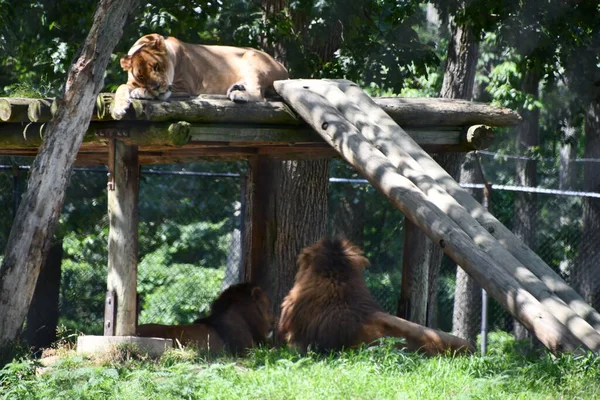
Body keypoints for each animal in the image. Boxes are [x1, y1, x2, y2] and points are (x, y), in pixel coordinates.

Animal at [113, 33, 292, 119]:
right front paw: (118, 109)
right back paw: (236, 88)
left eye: (156, 66)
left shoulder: (185, 87)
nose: (157, 87)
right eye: (141, 76)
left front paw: (141, 92)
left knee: (260, 96)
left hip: (251, 57)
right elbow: (121, 87)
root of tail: (284, 68)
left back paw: (238, 94)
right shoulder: (131, 82)